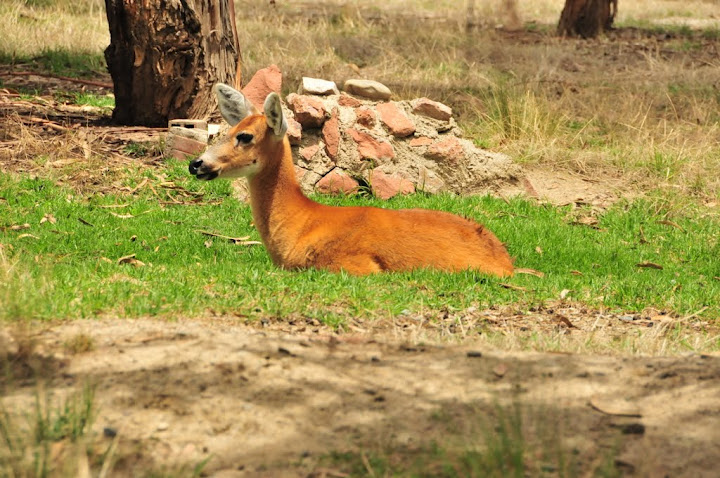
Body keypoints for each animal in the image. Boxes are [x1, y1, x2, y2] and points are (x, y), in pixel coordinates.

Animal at [189, 84, 514, 277]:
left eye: (245, 136)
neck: (301, 225)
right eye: (229, 131)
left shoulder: (354, 265)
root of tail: (506, 262)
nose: (196, 164)